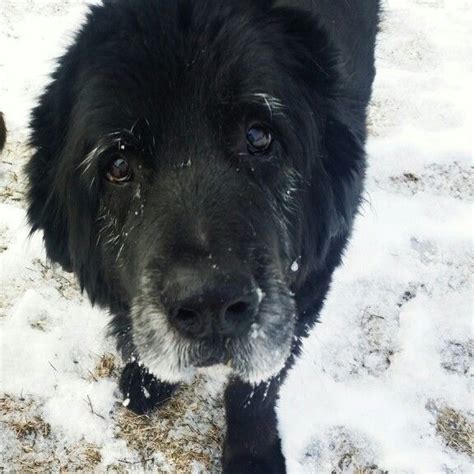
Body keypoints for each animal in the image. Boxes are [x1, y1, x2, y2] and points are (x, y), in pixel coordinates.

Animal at [26, 1, 382, 472]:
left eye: (259, 136)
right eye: (117, 166)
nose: (210, 303)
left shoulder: (307, 286)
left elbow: (256, 387)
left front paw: (252, 453)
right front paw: (147, 381)